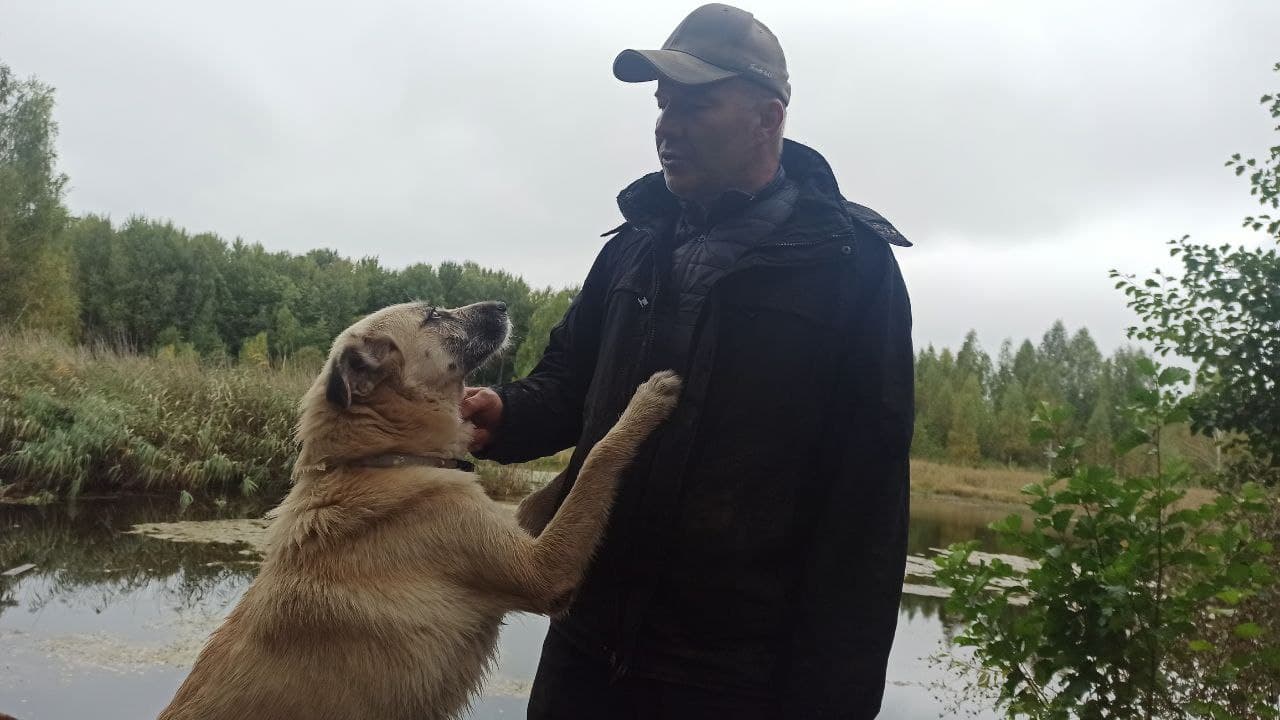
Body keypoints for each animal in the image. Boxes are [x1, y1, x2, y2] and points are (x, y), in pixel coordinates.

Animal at [157, 299, 680, 717]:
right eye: (433, 315)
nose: (503, 305)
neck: (385, 458)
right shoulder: (541, 571)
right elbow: (598, 458)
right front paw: (648, 399)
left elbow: (553, 486)